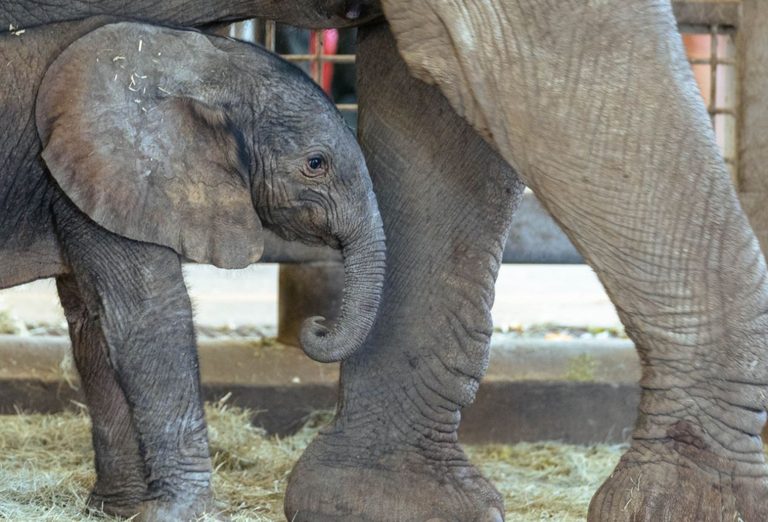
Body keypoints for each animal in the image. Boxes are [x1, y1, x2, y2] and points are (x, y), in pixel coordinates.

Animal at [0, 17, 384, 519]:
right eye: (315, 164)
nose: (317, 324)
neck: (196, 60)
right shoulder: (118, 170)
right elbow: (148, 316)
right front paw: (180, 511)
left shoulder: (86, 182)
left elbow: (94, 323)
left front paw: (119, 510)